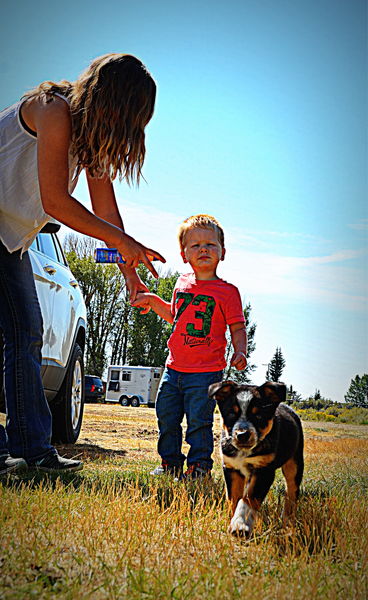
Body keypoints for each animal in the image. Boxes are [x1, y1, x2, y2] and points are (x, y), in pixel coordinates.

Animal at [208, 382, 304, 536]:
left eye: (258, 415)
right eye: (231, 413)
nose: (242, 434)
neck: (244, 453)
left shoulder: (264, 470)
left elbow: (249, 497)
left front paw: (240, 525)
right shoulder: (232, 469)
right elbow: (234, 498)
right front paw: (233, 521)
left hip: (294, 464)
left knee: (292, 492)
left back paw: (288, 521)